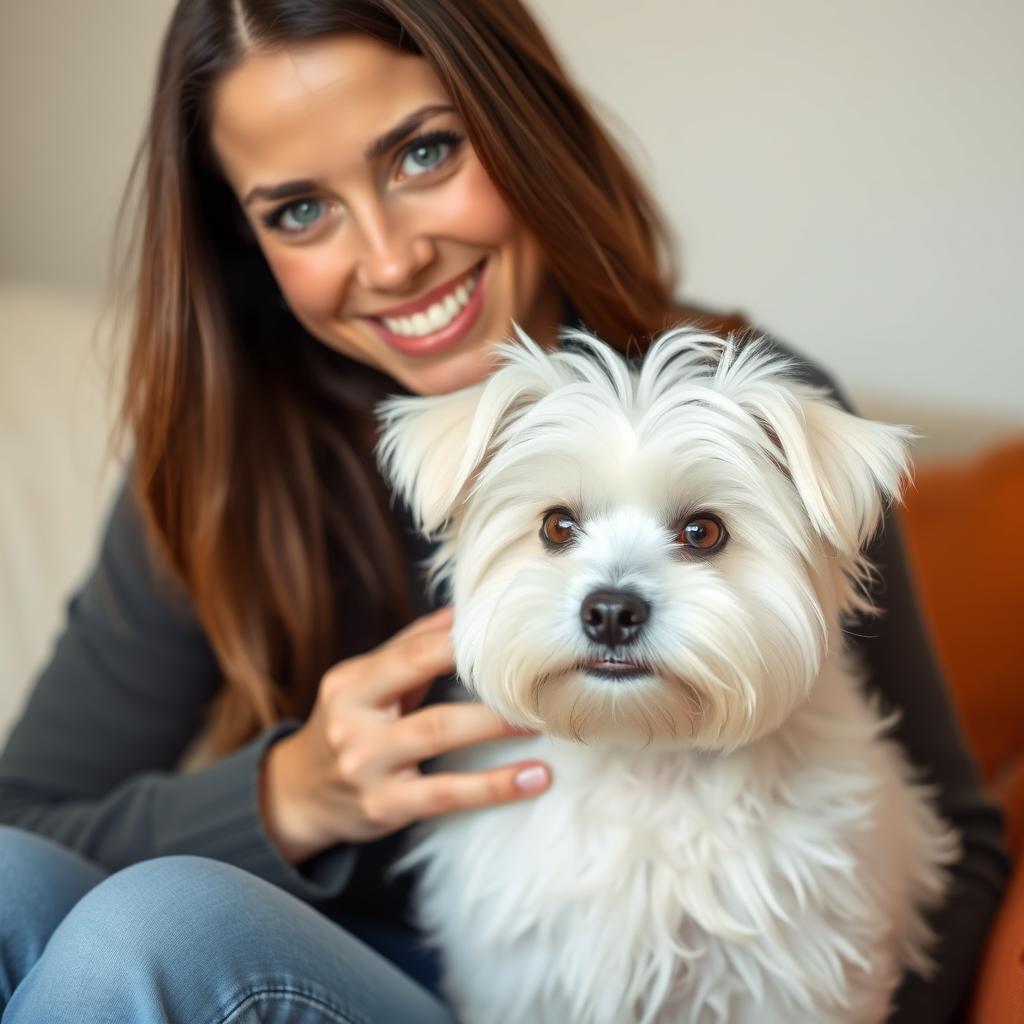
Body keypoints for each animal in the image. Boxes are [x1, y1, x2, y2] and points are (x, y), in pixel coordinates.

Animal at [374, 329, 958, 1024]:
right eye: (556, 525)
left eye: (703, 531)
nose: (610, 612)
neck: (644, 762)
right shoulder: (522, 981)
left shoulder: (789, 984)